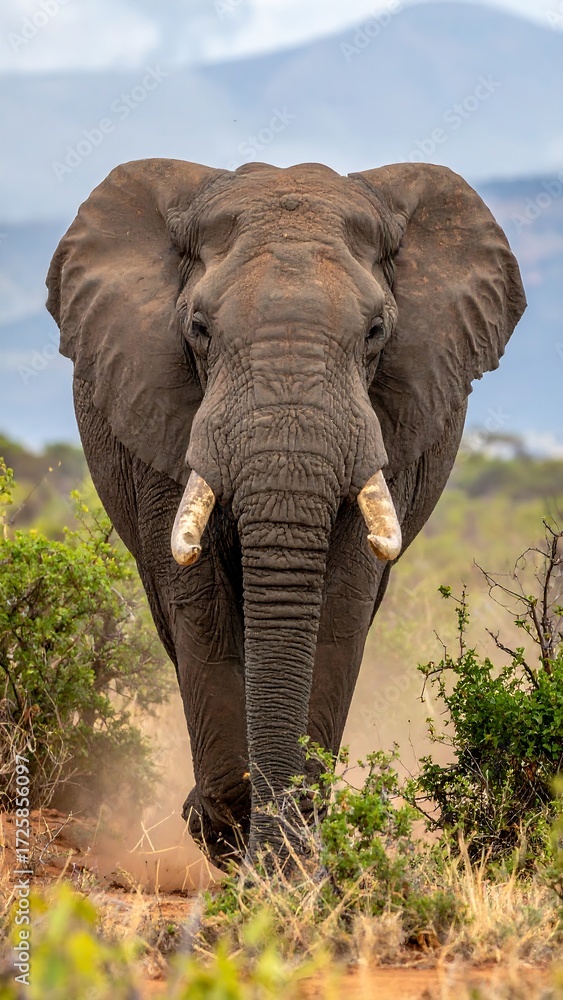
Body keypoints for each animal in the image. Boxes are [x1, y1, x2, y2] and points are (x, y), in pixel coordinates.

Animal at [46, 159, 526, 869]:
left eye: (377, 332)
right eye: (198, 328)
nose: (267, 858)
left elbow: (339, 605)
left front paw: (290, 867)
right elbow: (200, 605)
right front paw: (230, 839)